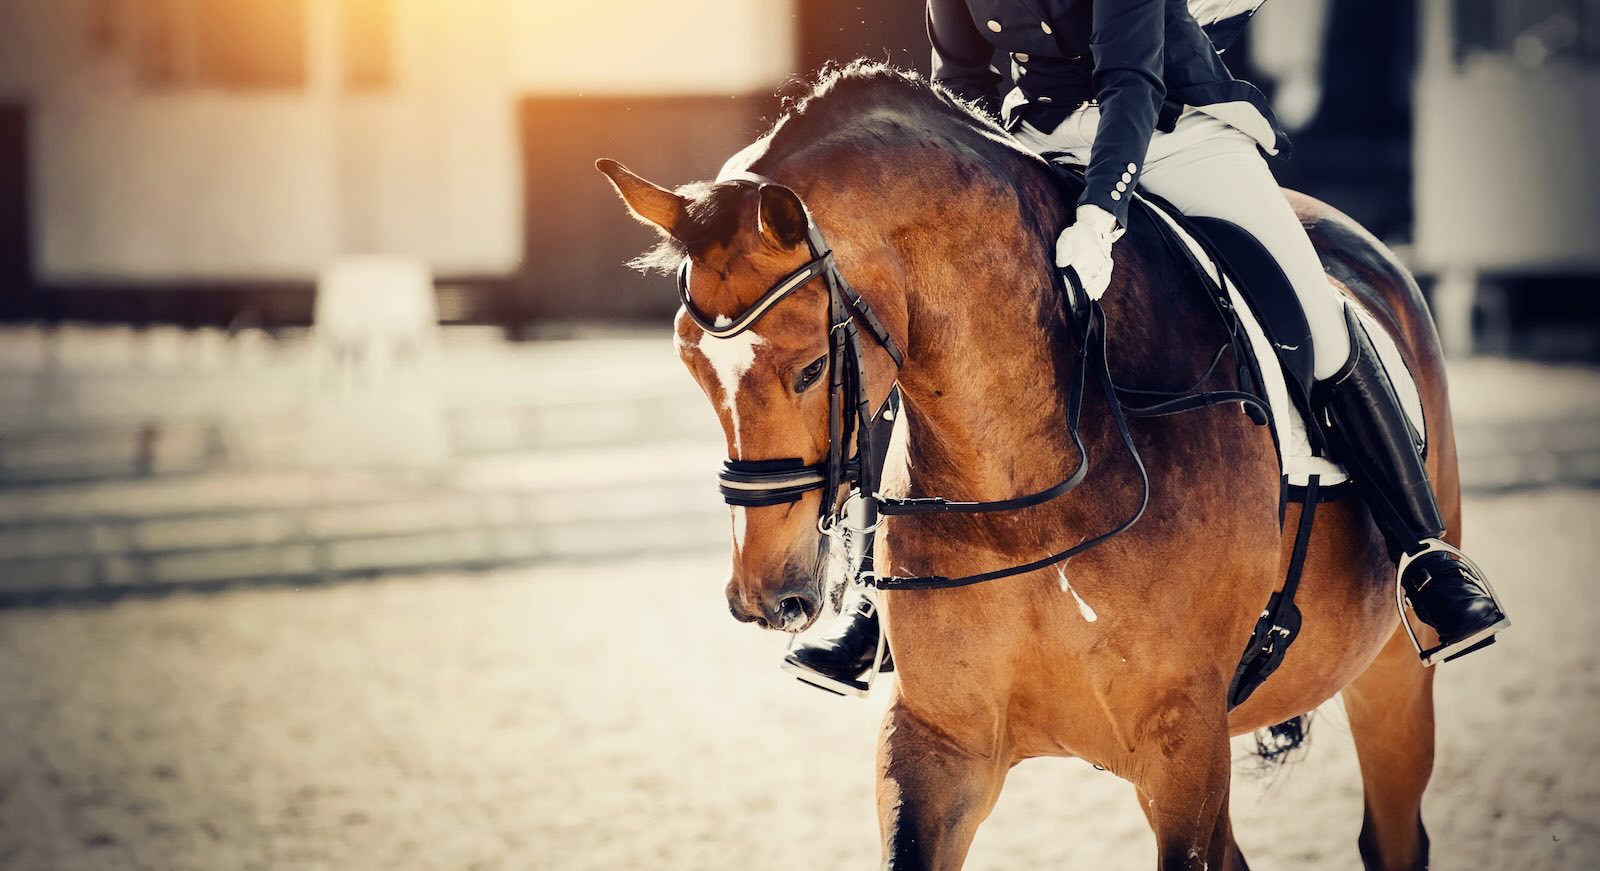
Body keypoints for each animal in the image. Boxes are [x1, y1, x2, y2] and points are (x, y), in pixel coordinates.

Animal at [598, 62, 1451, 871]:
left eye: (811, 368)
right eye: (690, 364)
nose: (763, 595)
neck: (1028, 488)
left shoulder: (1184, 741)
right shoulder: (937, 743)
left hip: (1389, 678)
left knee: (1395, 832)